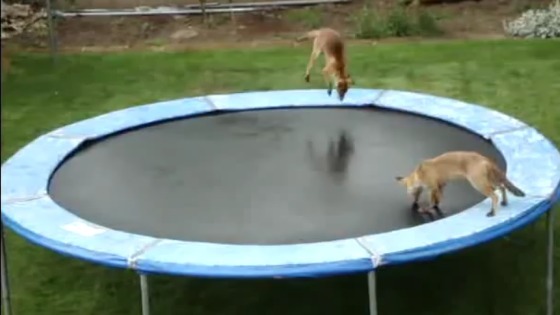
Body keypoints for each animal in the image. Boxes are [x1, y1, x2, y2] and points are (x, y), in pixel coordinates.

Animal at [394, 151, 524, 217]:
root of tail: (485, 159)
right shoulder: (441, 185)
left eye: (409, 191)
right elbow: (438, 199)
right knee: (502, 187)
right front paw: (436, 207)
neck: (420, 174)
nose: (414, 203)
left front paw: (427, 209)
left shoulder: (433, 187)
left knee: (495, 195)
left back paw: (492, 212)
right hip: (489, 181)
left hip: (478, 184)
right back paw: (505, 202)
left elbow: (432, 201)